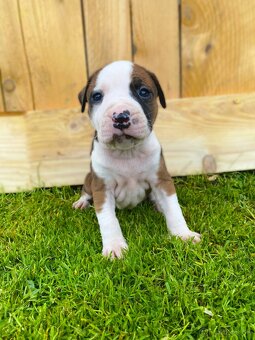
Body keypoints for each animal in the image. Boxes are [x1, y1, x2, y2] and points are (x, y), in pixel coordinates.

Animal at [72, 60, 201, 258]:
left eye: (143, 92)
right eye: (97, 96)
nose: (120, 116)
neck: (127, 152)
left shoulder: (161, 179)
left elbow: (174, 208)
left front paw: (183, 234)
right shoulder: (102, 187)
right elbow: (108, 220)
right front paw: (115, 247)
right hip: (89, 178)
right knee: (86, 191)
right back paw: (81, 202)